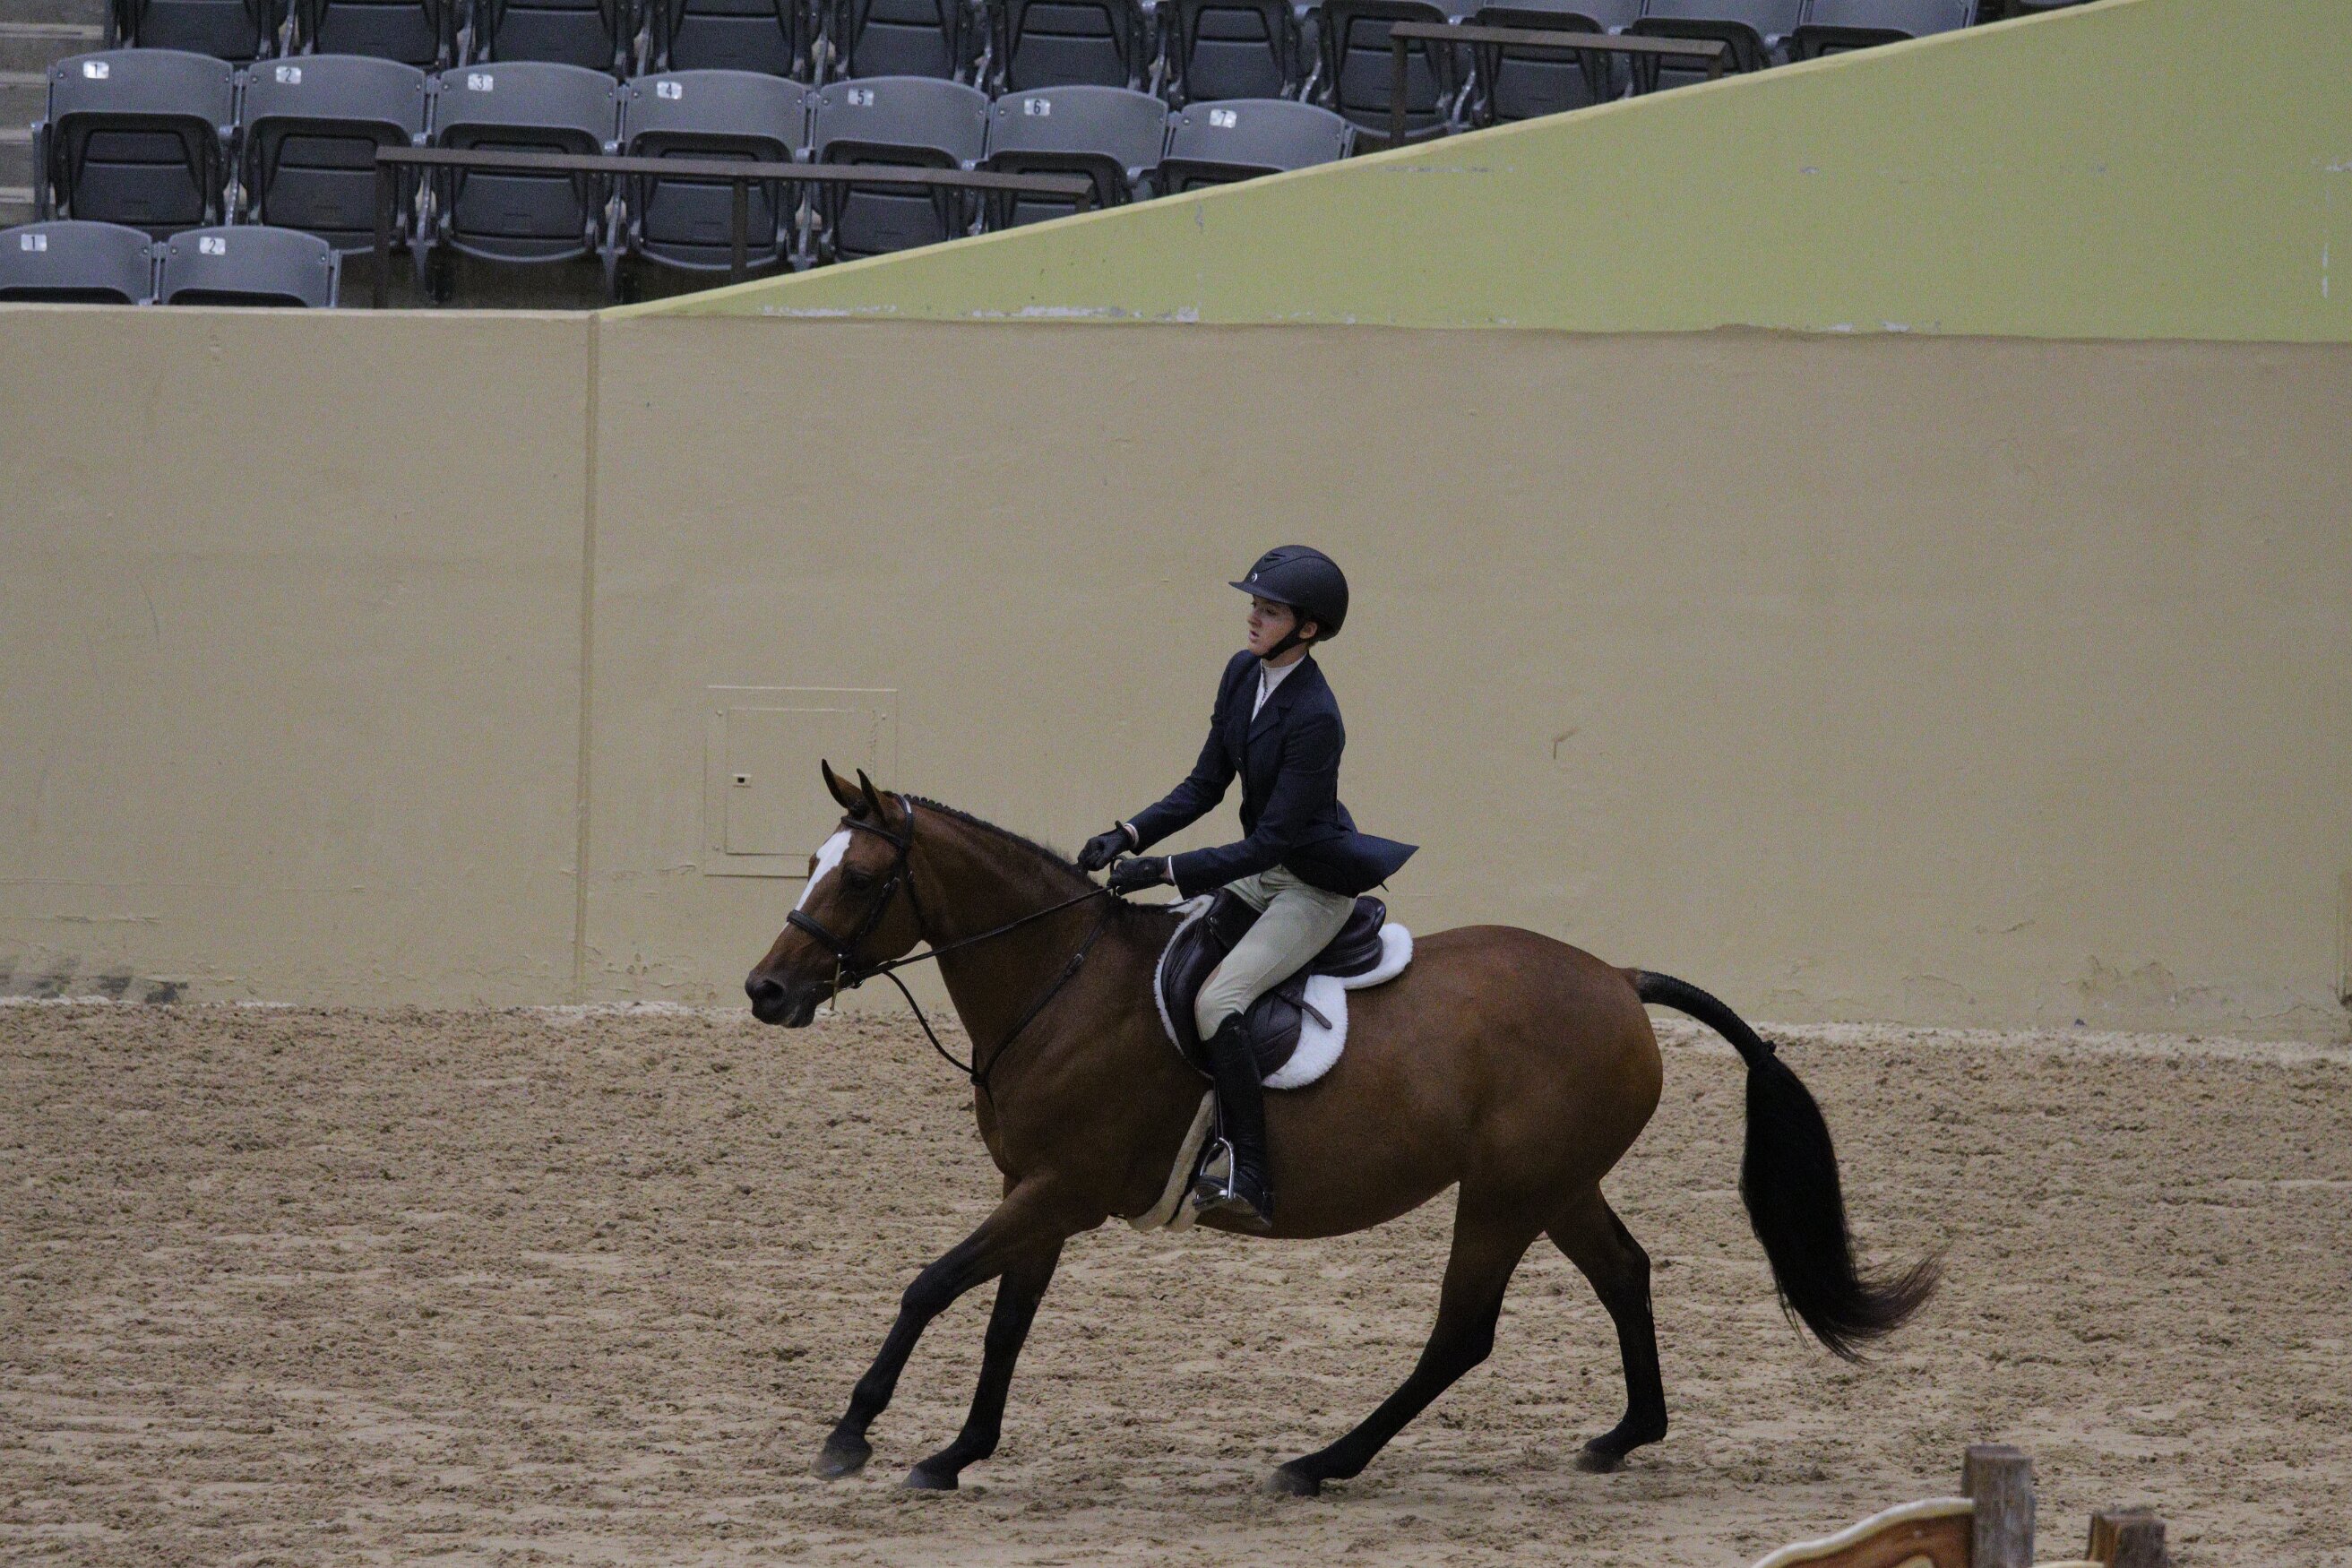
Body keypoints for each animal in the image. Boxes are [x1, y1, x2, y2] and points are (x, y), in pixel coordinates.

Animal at [745, 763, 1936, 1497]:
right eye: (807, 865)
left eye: (861, 876)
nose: (766, 991)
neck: (1061, 985)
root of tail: (1617, 977)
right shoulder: (1036, 1195)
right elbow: (1002, 1324)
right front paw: (955, 1452)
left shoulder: (1058, 1190)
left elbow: (931, 1285)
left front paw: (851, 1435)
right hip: (1554, 1184)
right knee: (1626, 1273)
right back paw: (1623, 1434)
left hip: (1503, 1194)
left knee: (1462, 1333)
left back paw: (1321, 1462)